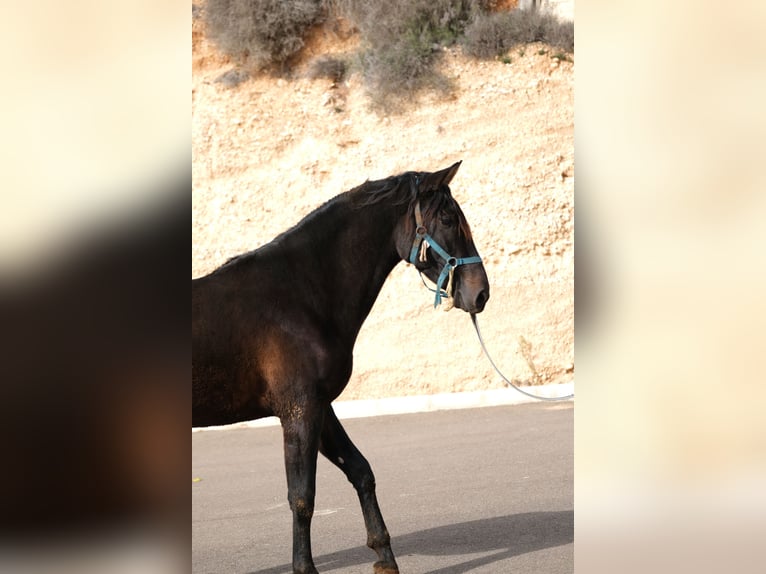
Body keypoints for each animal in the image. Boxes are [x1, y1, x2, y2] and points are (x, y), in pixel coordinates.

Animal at [192, 162, 492, 574]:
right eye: (448, 219)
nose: (480, 293)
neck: (300, 296)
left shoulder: (321, 407)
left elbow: (360, 470)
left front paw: (384, 557)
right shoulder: (299, 411)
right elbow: (302, 496)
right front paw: (305, 568)